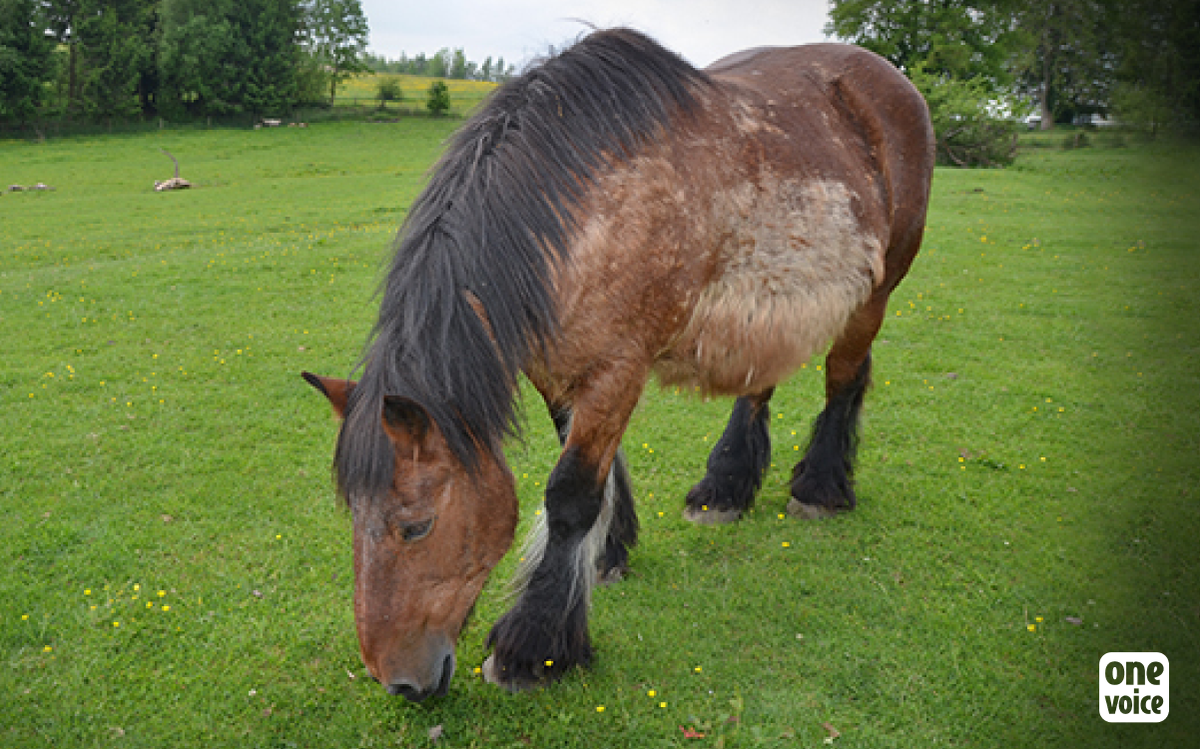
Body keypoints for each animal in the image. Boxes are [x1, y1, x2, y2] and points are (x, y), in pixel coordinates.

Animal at [303, 27, 934, 701]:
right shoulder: (556, 369)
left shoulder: (618, 369)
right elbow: (592, 479)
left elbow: (571, 494)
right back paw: (724, 489)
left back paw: (818, 489)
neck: (588, 214)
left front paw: (533, 651)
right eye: (352, 516)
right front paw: (609, 557)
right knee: (758, 382)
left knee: (842, 379)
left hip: (876, 293)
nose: (399, 682)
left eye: (415, 526)